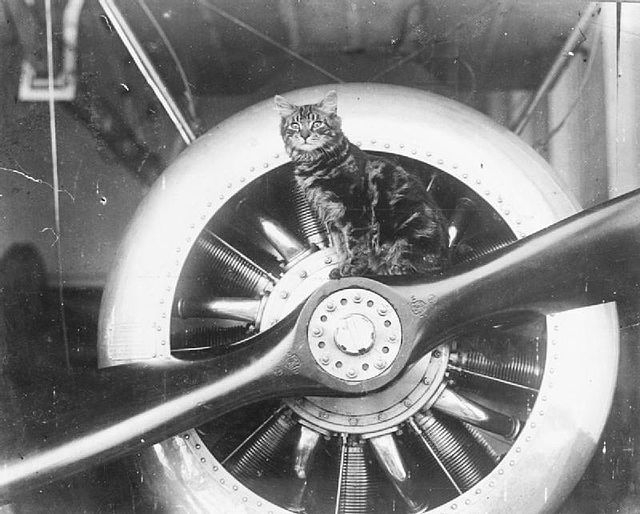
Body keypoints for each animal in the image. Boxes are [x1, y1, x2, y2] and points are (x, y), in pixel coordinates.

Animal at [276, 91, 450, 276]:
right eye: (295, 125)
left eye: (317, 123)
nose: (304, 135)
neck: (314, 164)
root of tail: (446, 259)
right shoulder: (331, 217)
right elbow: (341, 247)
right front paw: (342, 267)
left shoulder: (354, 212)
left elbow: (355, 246)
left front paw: (353, 268)